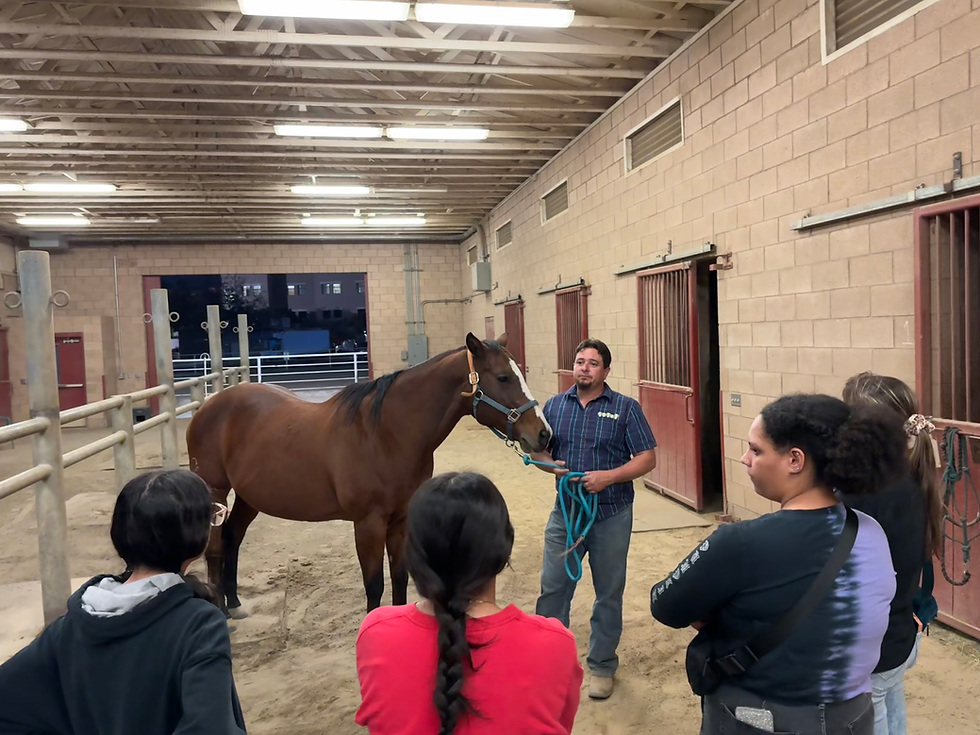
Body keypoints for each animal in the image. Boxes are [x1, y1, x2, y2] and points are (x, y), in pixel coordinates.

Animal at [186, 332, 552, 616]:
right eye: (503, 377)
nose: (544, 434)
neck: (385, 434)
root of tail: (207, 407)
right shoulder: (368, 524)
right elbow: (374, 585)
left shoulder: (400, 521)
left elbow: (400, 579)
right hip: (216, 492)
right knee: (215, 548)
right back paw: (221, 609)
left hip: (251, 496)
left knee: (232, 537)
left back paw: (235, 603)